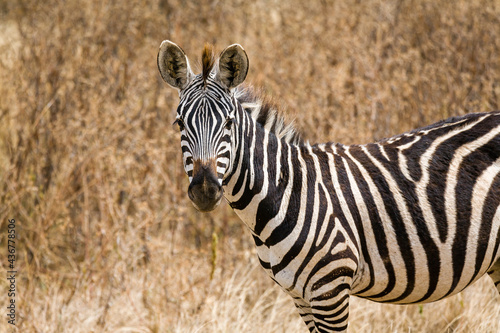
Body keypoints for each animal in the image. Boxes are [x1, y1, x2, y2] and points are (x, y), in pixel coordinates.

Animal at [157, 40, 500, 330]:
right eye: (179, 123)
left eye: (229, 123)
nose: (204, 191)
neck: (285, 191)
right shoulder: (301, 296)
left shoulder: (330, 289)